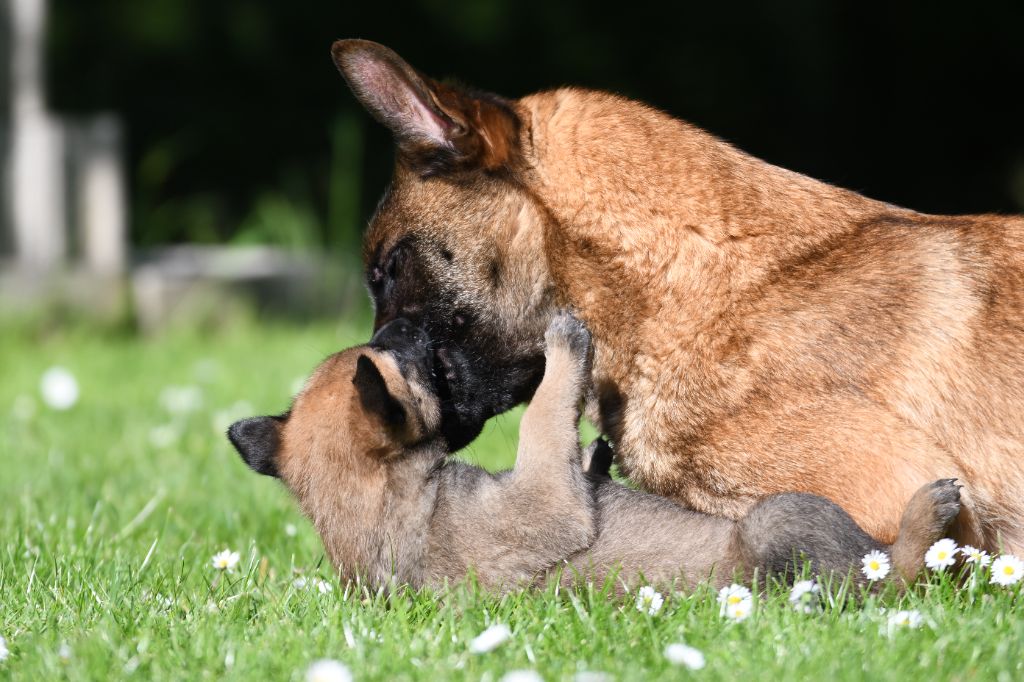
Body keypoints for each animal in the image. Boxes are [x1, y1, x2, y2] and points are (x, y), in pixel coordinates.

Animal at [228, 313, 962, 589]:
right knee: (892, 577)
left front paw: (596, 458)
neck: (377, 504)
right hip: (780, 522)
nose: (400, 326)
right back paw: (925, 522)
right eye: (408, 359)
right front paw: (563, 350)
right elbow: (543, 423)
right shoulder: (541, 503)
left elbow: (566, 451)